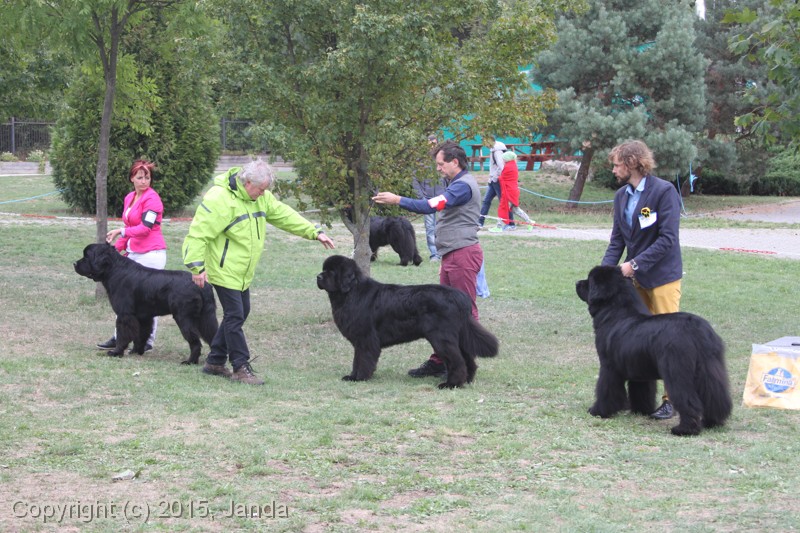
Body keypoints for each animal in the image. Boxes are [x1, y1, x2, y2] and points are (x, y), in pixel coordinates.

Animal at [74, 243, 218, 364]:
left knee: (195, 341)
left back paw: (190, 361)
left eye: (87, 256)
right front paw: (136, 351)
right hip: (205, 317)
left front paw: (116, 352)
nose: (74, 263)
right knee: (212, 334)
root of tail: (203, 285)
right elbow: (140, 334)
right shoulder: (143, 317)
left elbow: (123, 334)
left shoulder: (125, 314)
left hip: (184, 317)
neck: (113, 270)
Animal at [317, 255, 498, 388]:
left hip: (441, 337)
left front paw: (359, 378)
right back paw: (467, 380)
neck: (351, 292)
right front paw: (352, 376)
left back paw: (451, 384)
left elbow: (362, 360)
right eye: (324, 270)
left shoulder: (366, 339)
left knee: (457, 360)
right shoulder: (360, 341)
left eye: (332, 271)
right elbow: (356, 360)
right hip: (457, 337)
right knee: (468, 358)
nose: (318, 277)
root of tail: (460, 297)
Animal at [576, 265, 732, 436]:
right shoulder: (638, 368)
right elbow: (642, 390)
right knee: (715, 396)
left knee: (688, 399)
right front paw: (640, 410)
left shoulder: (609, 367)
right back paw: (711, 422)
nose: (577, 283)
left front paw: (597, 411)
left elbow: (606, 389)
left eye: (590, 281)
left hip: (677, 371)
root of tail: (696, 329)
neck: (616, 314)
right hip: (709, 368)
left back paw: (684, 429)